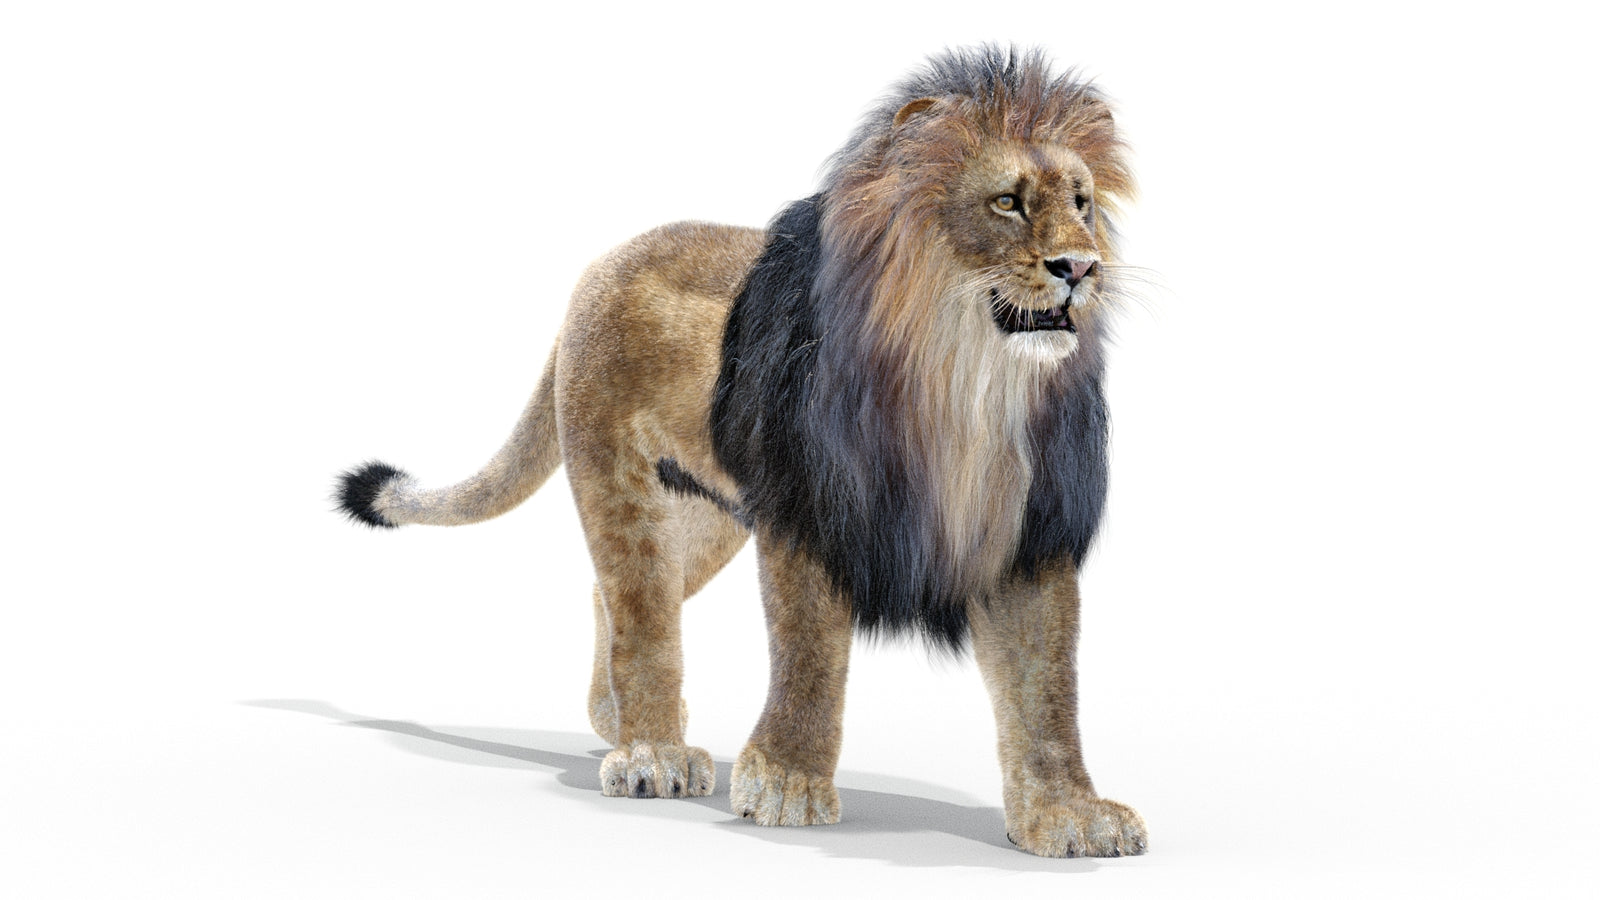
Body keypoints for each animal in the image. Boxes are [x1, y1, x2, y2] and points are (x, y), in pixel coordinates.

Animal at [334, 45, 1146, 858]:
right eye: (1007, 202)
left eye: (1080, 202)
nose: (1081, 267)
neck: (967, 382)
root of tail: (598, 269)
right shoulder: (808, 512)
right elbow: (809, 654)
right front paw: (788, 783)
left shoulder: (1032, 531)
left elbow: (1047, 689)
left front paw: (1069, 814)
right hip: (617, 483)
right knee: (640, 610)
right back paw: (651, 753)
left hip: (709, 514)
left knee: (613, 595)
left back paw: (613, 720)